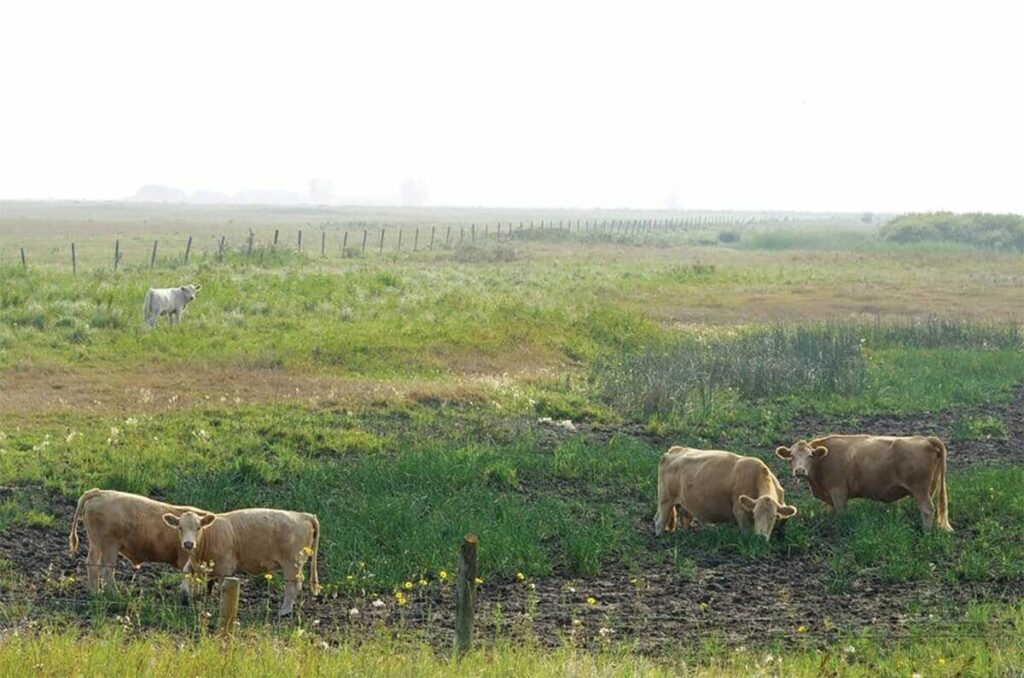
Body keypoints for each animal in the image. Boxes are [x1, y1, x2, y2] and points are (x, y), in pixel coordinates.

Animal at [68, 489, 212, 593]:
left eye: (198, 527)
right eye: (180, 528)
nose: (188, 544)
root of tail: (100, 492)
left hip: (96, 544)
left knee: (93, 564)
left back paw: (95, 592)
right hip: (109, 545)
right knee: (106, 570)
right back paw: (114, 594)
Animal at [163, 508, 320, 616]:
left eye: (198, 527)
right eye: (180, 527)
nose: (188, 544)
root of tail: (302, 515)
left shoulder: (225, 568)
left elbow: (223, 589)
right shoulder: (195, 563)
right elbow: (186, 572)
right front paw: (185, 598)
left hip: (292, 563)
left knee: (293, 586)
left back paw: (284, 610)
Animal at [654, 446, 797, 540]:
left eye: (773, 517)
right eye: (755, 514)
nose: (760, 537)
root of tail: (673, 450)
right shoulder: (740, 512)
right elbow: (746, 532)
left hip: (682, 504)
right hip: (665, 500)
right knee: (659, 522)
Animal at [775, 435, 952, 531]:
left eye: (810, 456)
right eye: (791, 456)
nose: (800, 471)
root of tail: (925, 439)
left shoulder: (838, 492)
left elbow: (842, 515)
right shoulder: (828, 497)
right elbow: (830, 513)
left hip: (920, 489)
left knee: (928, 509)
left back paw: (926, 533)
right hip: (928, 490)